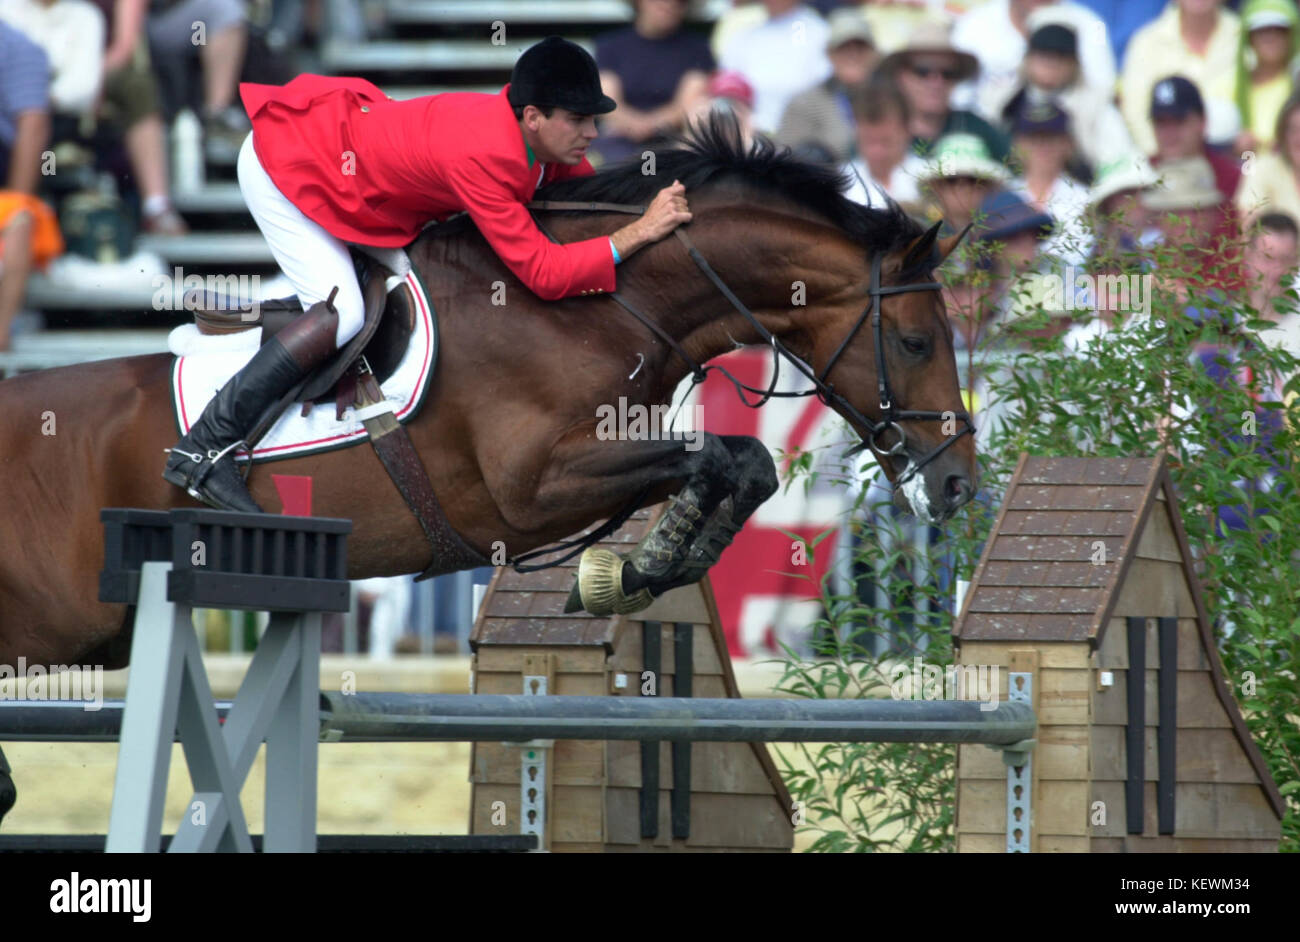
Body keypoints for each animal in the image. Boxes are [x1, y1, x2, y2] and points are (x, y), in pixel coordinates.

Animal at [0, 117, 977, 675]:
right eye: (917, 341)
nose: (961, 484)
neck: (601, 301)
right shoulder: (531, 487)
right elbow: (722, 453)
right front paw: (644, 565)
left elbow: (742, 465)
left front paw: (646, 566)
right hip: (48, 633)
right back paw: (210, 467)